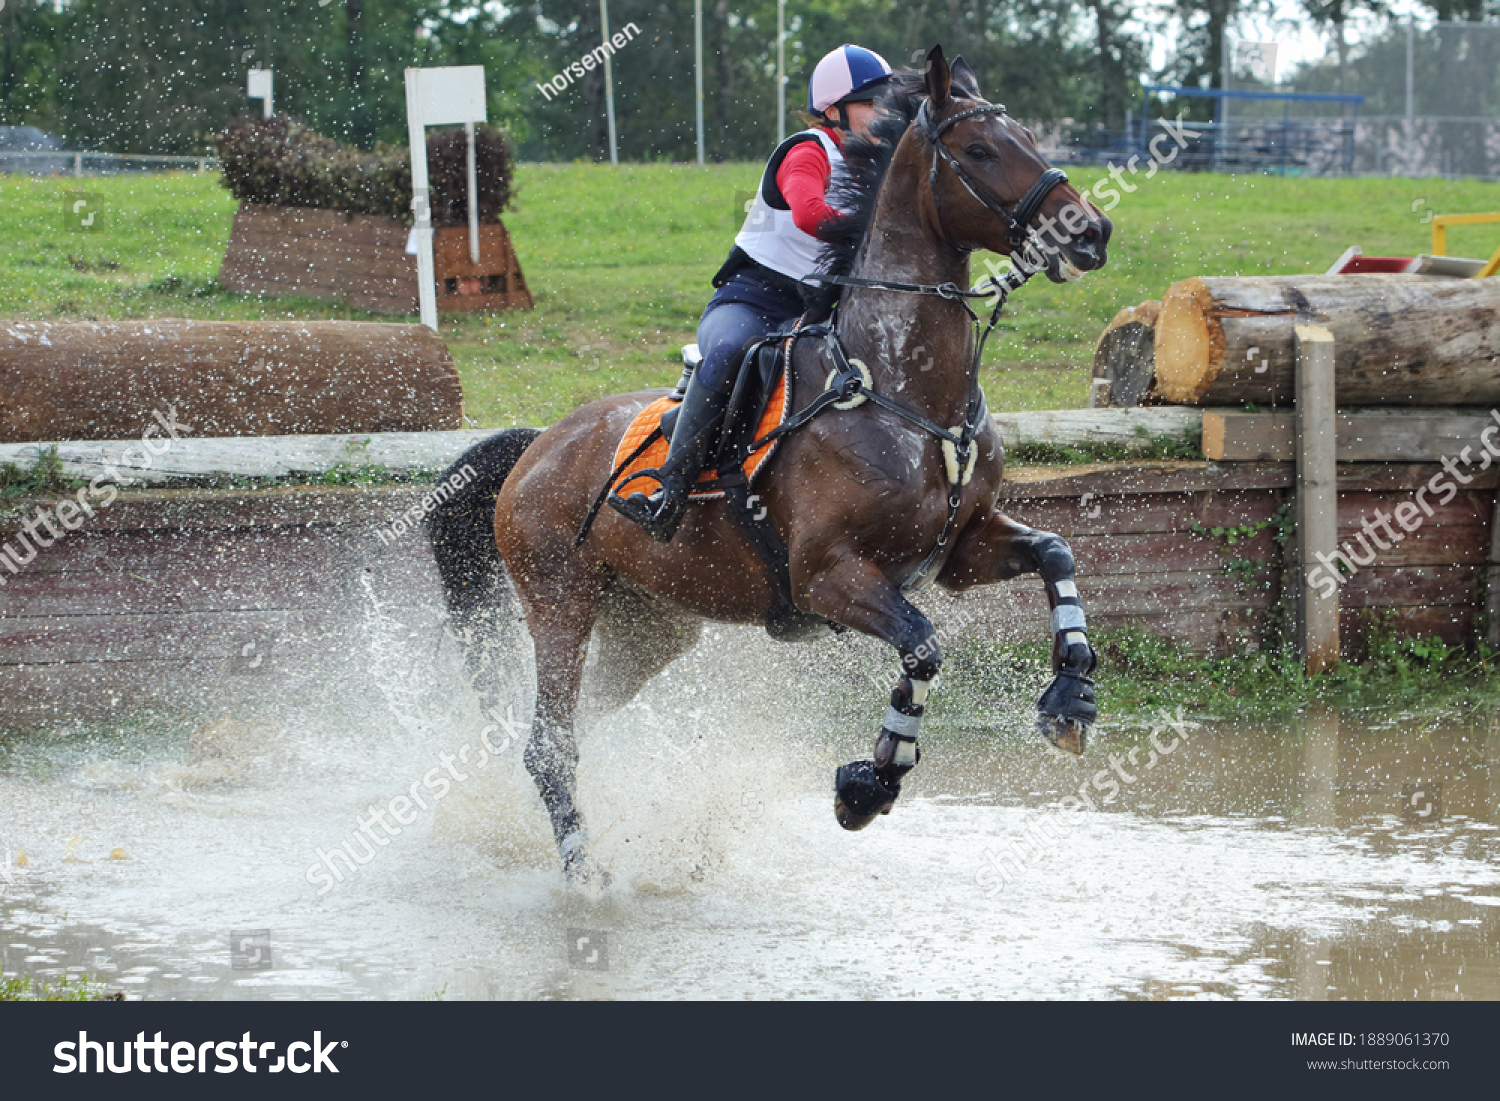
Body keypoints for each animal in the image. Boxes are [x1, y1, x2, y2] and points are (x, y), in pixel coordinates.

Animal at [426, 47, 1112, 883]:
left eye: (1030, 138)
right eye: (980, 150)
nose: (1091, 230)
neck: (901, 384)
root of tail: (535, 446)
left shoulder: (961, 548)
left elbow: (1056, 551)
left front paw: (1071, 695)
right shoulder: (827, 575)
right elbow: (921, 645)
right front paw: (870, 782)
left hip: (649, 625)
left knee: (574, 726)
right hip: (560, 600)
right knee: (549, 743)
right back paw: (584, 871)